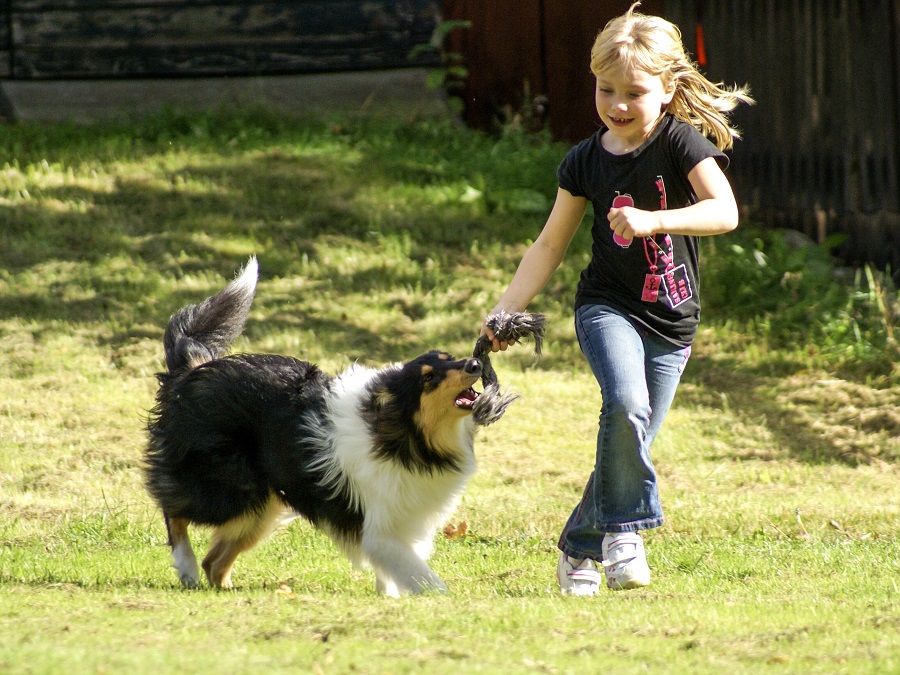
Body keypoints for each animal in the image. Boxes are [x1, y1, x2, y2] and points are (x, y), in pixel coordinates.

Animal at [143, 258, 532, 596]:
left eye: (447, 358)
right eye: (428, 378)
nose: (474, 365)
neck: (404, 436)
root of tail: (193, 370)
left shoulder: (406, 519)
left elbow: (395, 573)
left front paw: (390, 597)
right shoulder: (380, 528)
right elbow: (421, 575)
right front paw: (442, 598)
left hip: (263, 502)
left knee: (215, 558)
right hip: (229, 488)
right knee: (173, 509)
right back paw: (186, 565)